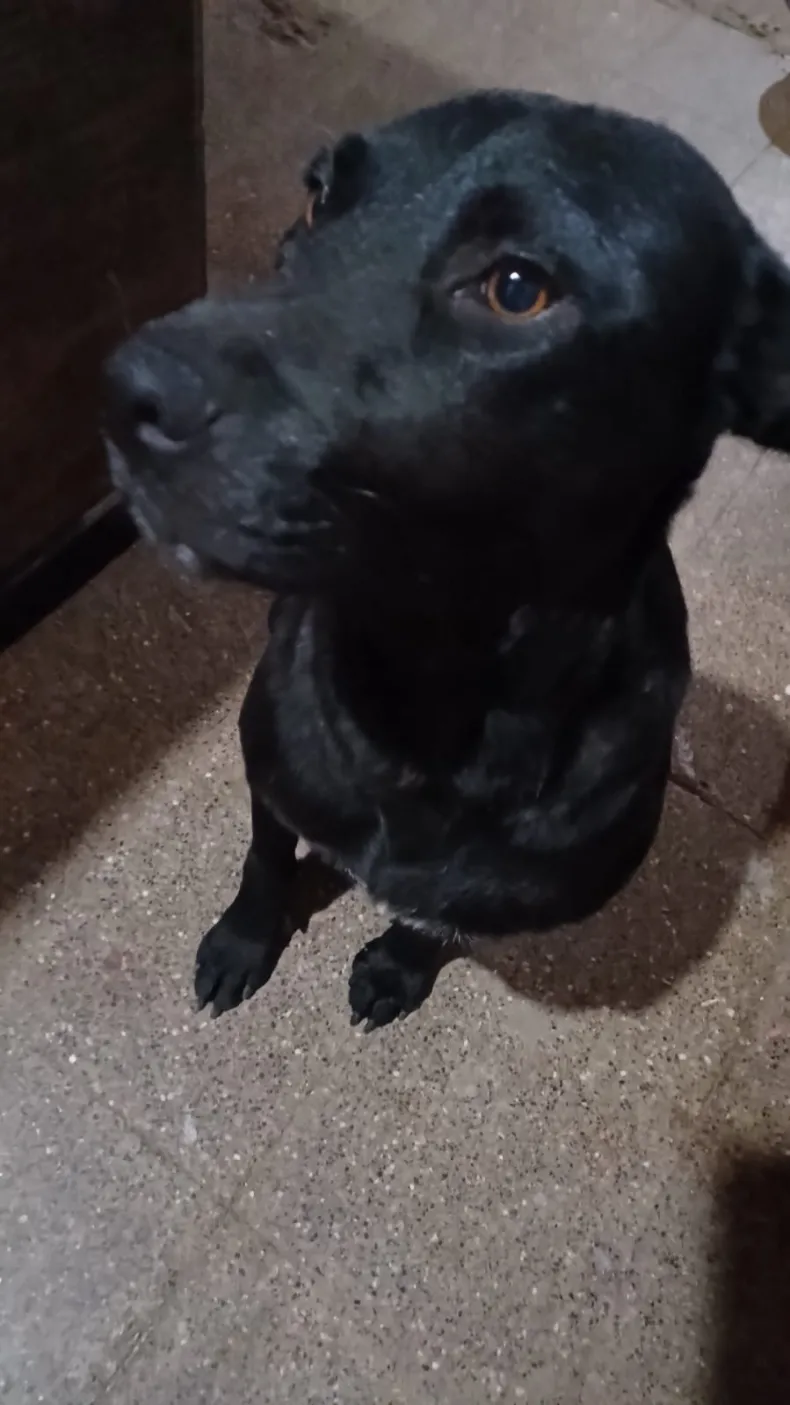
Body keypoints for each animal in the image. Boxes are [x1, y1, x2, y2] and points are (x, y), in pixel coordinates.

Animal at [103, 90, 790, 1030]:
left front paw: (398, 965)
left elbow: (436, 920)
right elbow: (266, 860)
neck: (432, 702)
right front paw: (244, 939)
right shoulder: (273, 780)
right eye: (319, 198)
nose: (124, 394)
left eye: (517, 288)